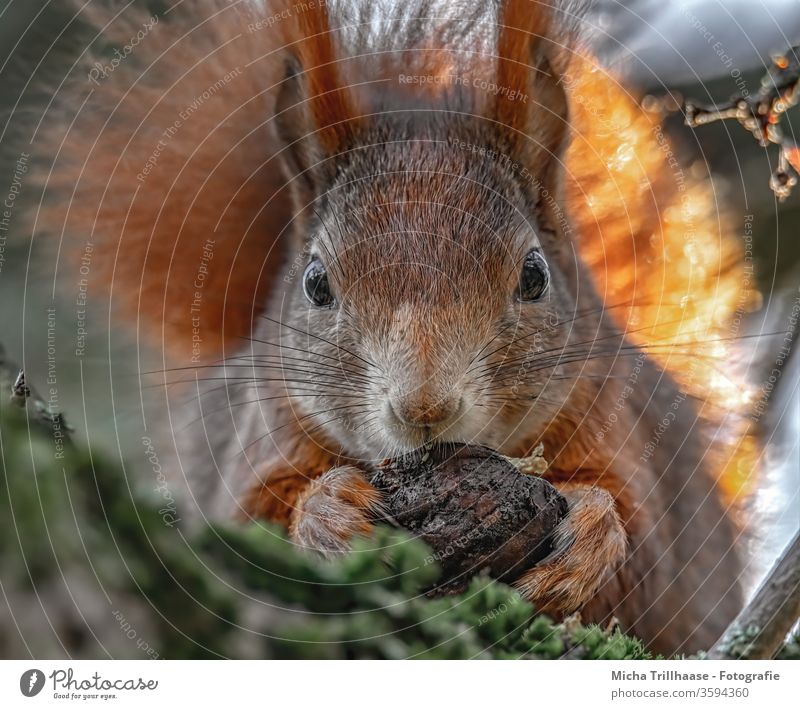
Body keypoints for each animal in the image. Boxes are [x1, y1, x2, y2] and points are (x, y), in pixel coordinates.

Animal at [28, 0, 760, 656]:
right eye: (316, 283)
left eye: (534, 275)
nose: (424, 408)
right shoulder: (254, 441)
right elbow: (249, 522)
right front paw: (328, 514)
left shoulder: (626, 437)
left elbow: (649, 563)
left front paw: (589, 538)